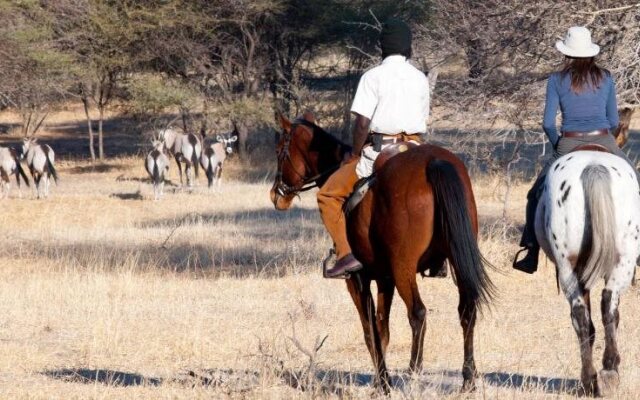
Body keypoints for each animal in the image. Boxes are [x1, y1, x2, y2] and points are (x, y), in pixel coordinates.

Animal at [270, 114, 496, 392]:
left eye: (280, 151)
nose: (276, 195)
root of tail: (433, 161)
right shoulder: (385, 279)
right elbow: (383, 327)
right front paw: (381, 379)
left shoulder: (358, 280)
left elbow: (370, 329)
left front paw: (384, 382)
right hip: (456, 261)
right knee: (467, 311)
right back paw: (468, 380)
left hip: (403, 269)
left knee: (418, 314)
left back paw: (413, 374)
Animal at [536, 148, 640, 396]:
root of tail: (593, 166)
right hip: (619, 263)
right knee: (606, 306)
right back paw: (607, 370)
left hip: (570, 268)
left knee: (582, 316)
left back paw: (591, 379)